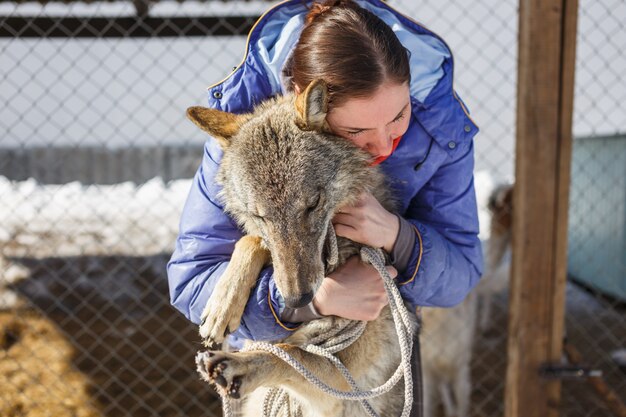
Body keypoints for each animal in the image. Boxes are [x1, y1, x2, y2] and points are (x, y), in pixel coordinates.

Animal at [188, 79, 416, 414]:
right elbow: (251, 240)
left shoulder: (345, 383)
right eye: (260, 215)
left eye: (313, 204)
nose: (297, 300)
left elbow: (288, 354)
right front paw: (221, 307)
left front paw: (237, 366)